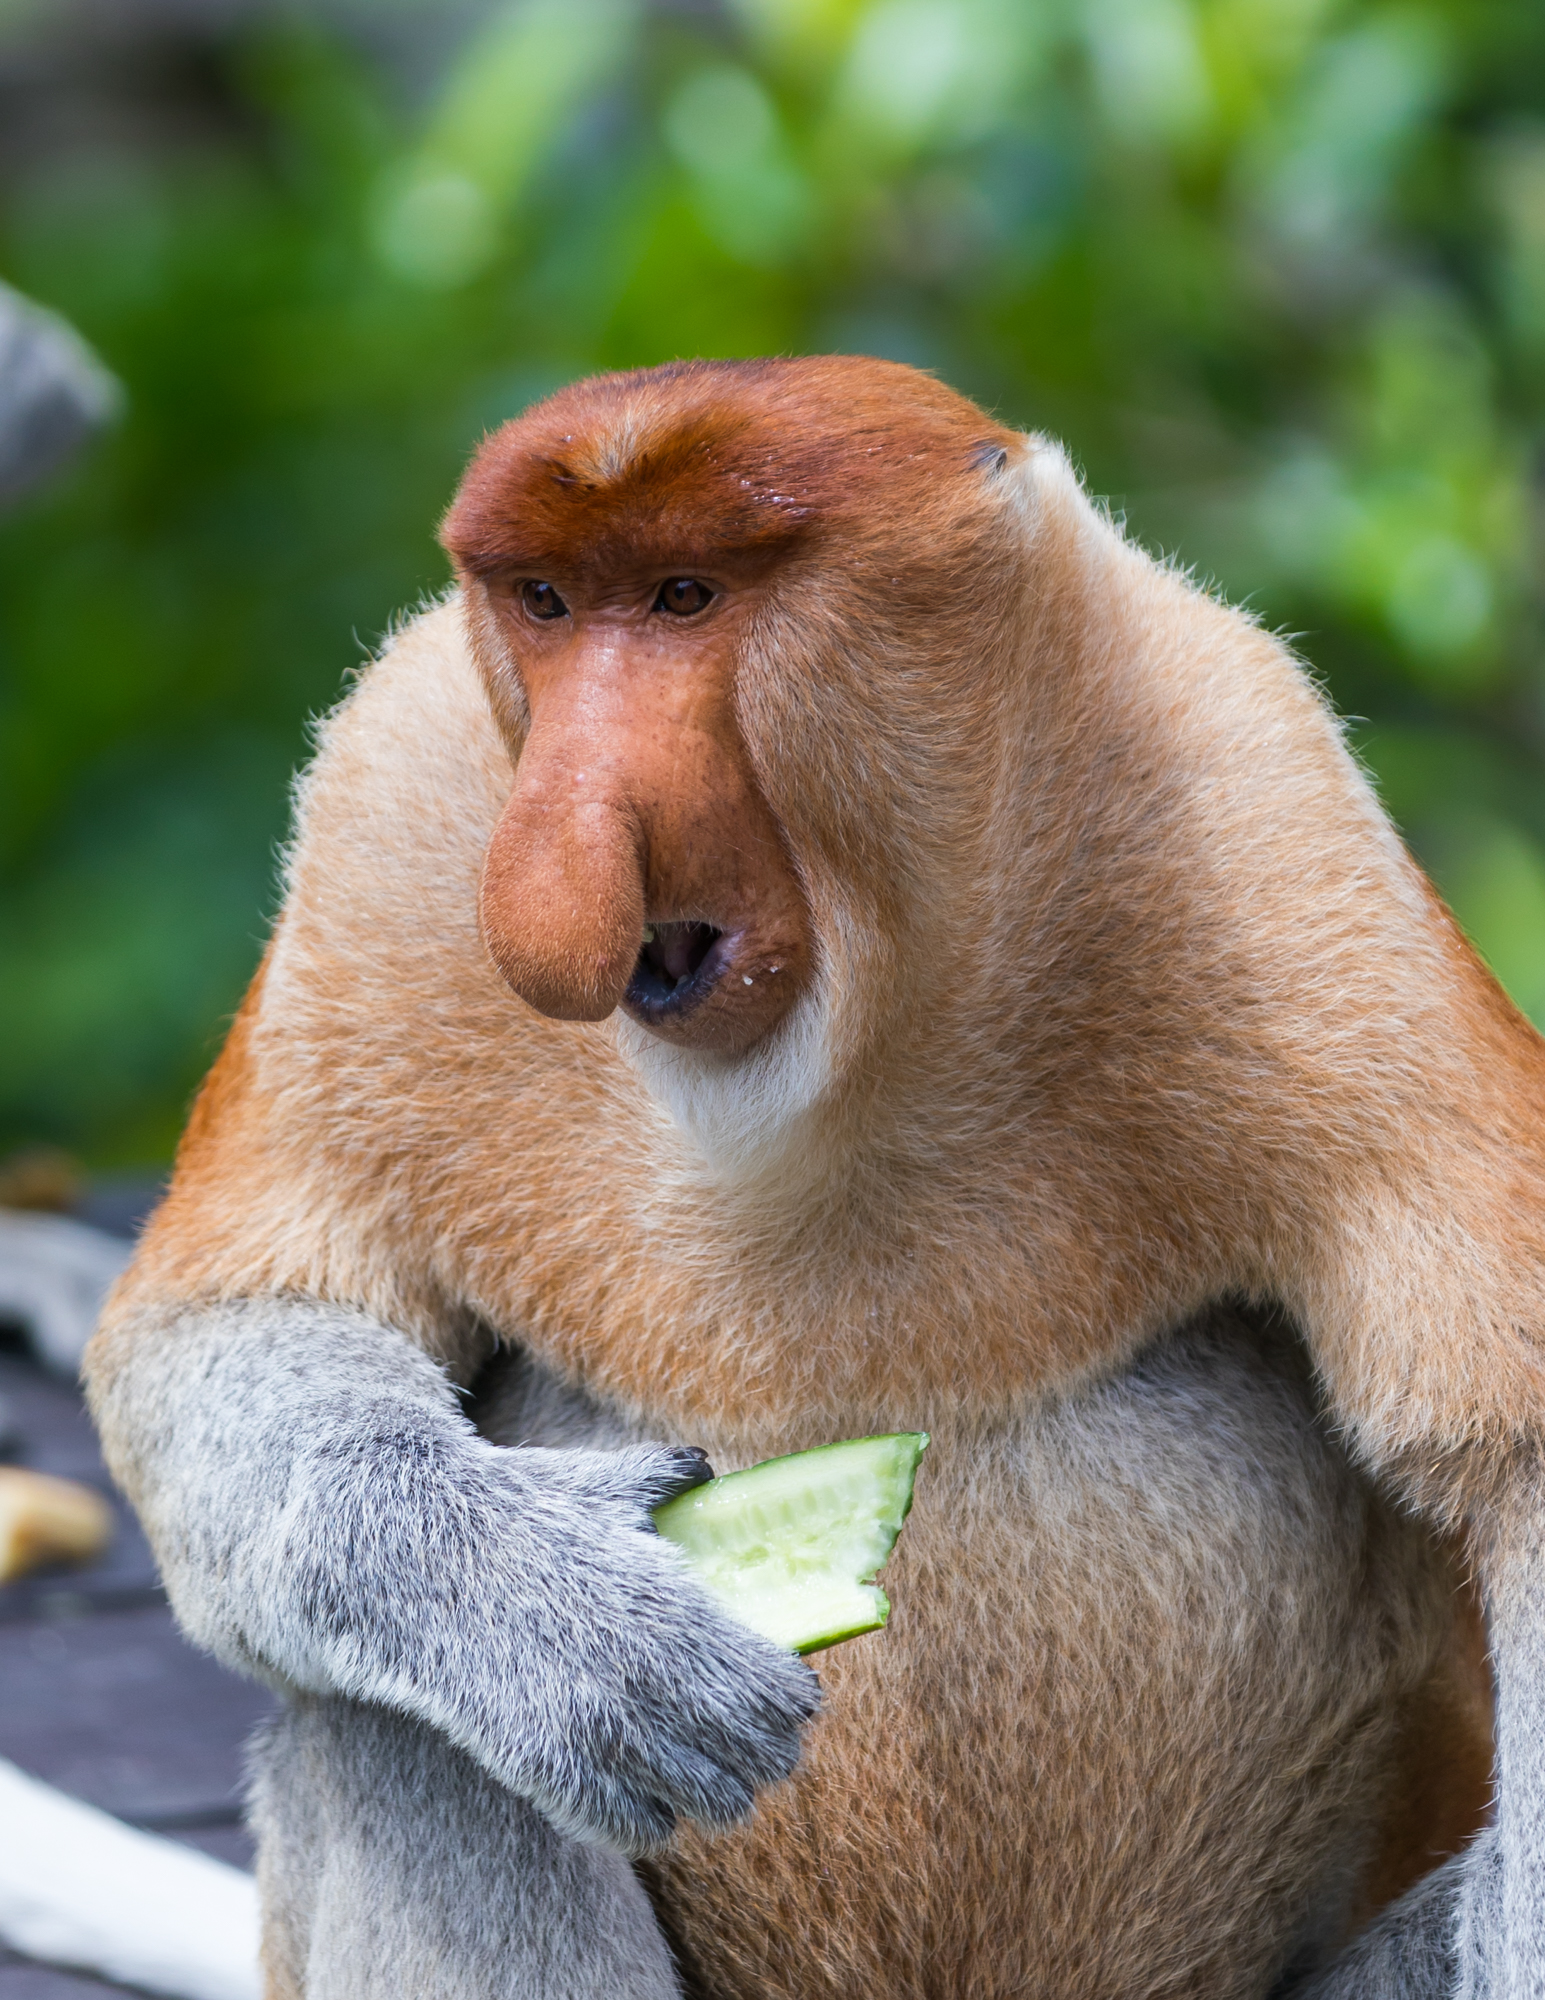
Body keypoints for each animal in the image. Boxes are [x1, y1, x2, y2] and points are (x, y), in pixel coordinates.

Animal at [84, 364, 1528, 2000]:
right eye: (546, 603)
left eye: (686, 597)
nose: (555, 845)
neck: (829, 1065)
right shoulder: (389, 822)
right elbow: (222, 1323)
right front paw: (568, 1624)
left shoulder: (1274, 829)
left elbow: (1508, 1447)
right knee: (397, 1736)